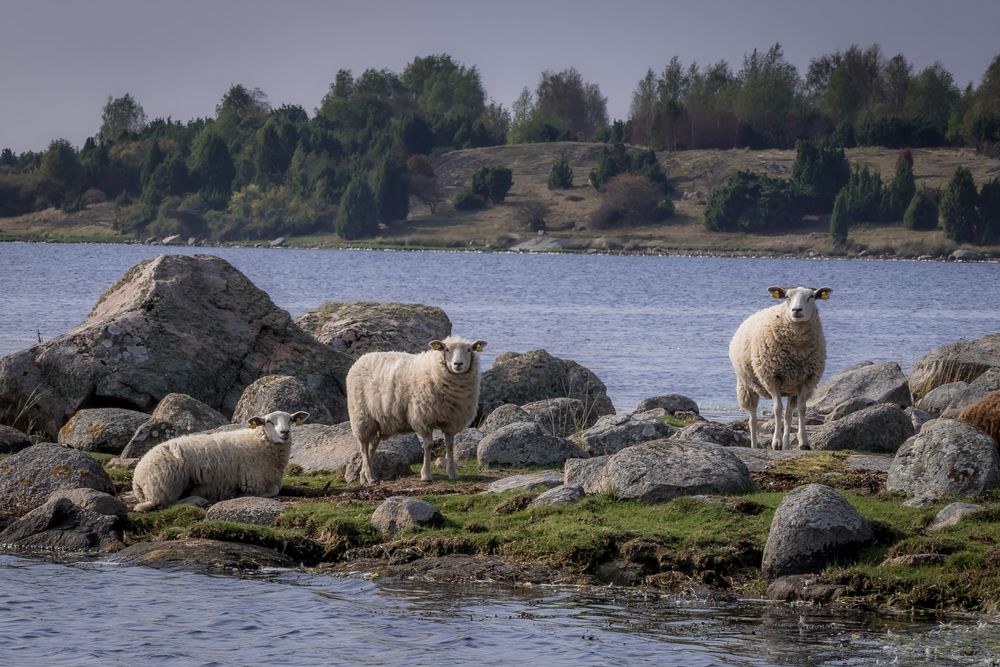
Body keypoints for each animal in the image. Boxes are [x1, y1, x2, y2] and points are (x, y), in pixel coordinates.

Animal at [132, 408, 308, 512]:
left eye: (290, 420)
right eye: (269, 421)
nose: (284, 432)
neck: (259, 440)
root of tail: (137, 479)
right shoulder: (255, 482)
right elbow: (273, 491)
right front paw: (237, 494)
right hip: (167, 483)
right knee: (167, 504)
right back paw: (197, 500)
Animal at [350, 334, 486, 486]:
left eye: (469, 350)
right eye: (446, 349)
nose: (458, 364)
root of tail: (362, 358)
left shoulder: (451, 420)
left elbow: (450, 445)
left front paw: (453, 473)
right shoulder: (423, 419)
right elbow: (428, 446)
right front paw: (426, 475)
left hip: (377, 422)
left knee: (371, 447)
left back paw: (364, 477)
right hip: (361, 417)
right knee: (363, 446)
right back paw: (370, 477)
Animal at [732, 284, 832, 452]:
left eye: (811, 296)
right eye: (787, 297)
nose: (796, 310)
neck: (797, 346)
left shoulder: (805, 380)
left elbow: (801, 409)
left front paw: (803, 442)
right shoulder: (772, 378)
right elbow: (777, 409)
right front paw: (776, 442)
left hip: (792, 388)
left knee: (788, 415)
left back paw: (786, 445)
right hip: (746, 385)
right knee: (752, 419)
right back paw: (754, 445)